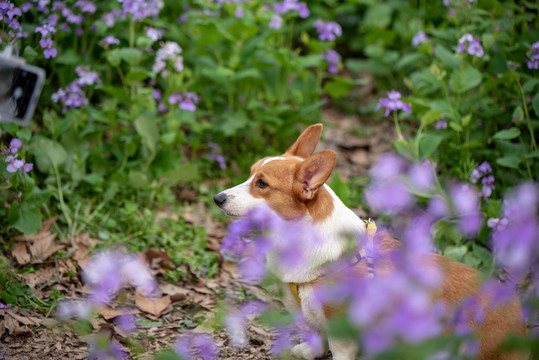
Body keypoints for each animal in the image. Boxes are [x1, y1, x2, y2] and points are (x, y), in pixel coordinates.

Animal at [215, 124, 528, 360]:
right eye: (250, 174)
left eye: (262, 184)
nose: (218, 198)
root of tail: (521, 328)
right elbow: (316, 338)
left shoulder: (343, 331)